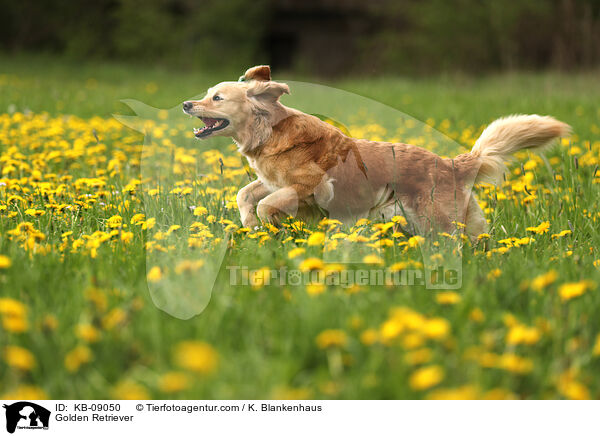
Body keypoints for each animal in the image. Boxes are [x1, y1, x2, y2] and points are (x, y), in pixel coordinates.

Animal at [182, 66, 568, 240]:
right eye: (206, 93)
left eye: (217, 97)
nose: (186, 103)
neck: (269, 132)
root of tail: (453, 163)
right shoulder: (271, 180)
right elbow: (245, 193)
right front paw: (251, 225)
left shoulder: (311, 186)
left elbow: (266, 203)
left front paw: (269, 225)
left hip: (435, 220)